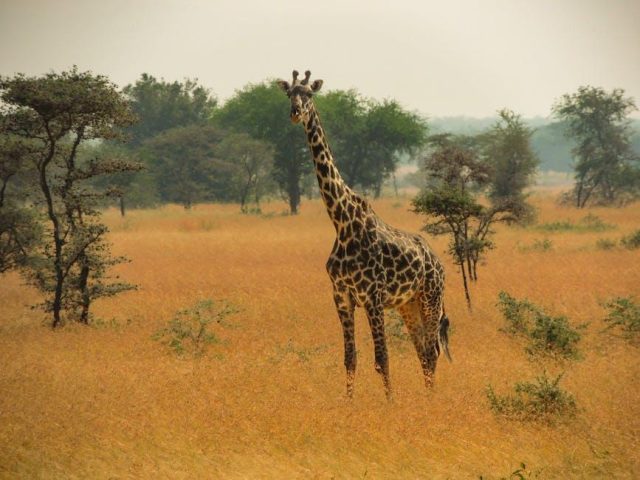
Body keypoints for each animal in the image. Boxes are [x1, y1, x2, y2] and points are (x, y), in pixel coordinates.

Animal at [276, 70, 450, 398]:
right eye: (289, 93)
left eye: (310, 94)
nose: (295, 113)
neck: (342, 223)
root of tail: (438, 263)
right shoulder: (342, 295)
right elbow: (350, 358)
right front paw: (348, 402)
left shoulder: (373, 296)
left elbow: (382, 358)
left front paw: (390, 402)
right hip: (408, 305)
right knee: (423, 349)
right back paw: (426, 397)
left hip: (430, 297)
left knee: (433, 350)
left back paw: (431, 399)